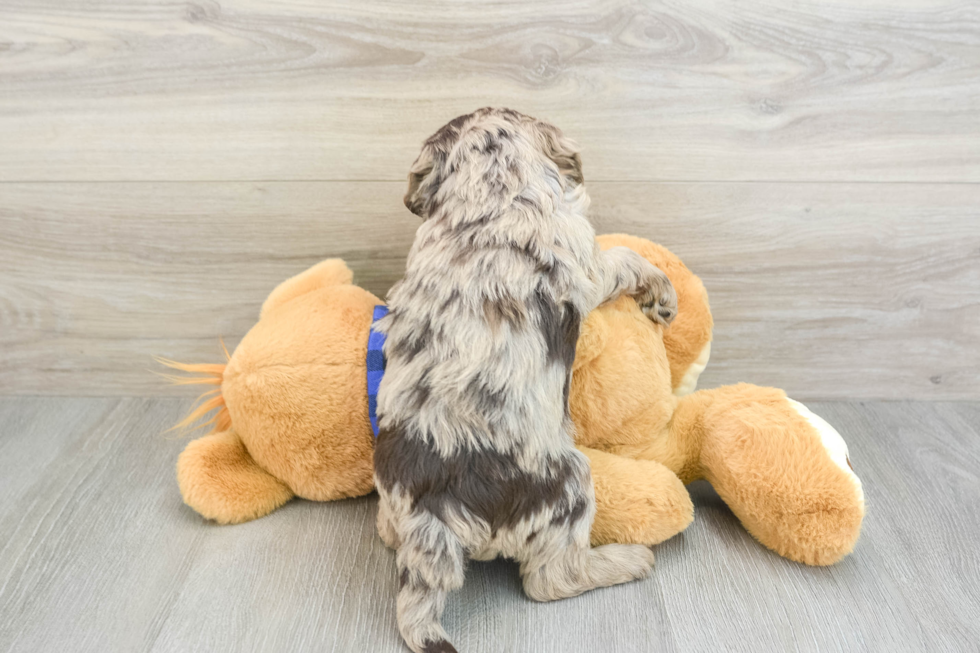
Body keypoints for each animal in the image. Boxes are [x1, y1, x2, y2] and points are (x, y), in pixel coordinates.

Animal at [374, 108, 672, 652]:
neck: (490, 192)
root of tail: (433, 512)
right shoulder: (587, 261)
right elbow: (623, 257)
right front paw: (661, 291)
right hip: (569, 487)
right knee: (551, 580)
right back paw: (627, 560)